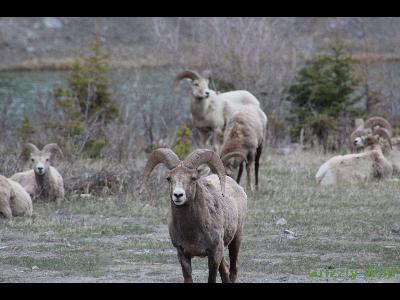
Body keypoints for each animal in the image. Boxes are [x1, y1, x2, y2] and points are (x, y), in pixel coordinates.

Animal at [140, 148, 247, 284]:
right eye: (169, 178)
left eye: (193, 178)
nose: (178, 195)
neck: (192, 233)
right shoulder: (183, 255)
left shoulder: (214, 254)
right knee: (225, 271)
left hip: (236, 239)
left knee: (233, 270)